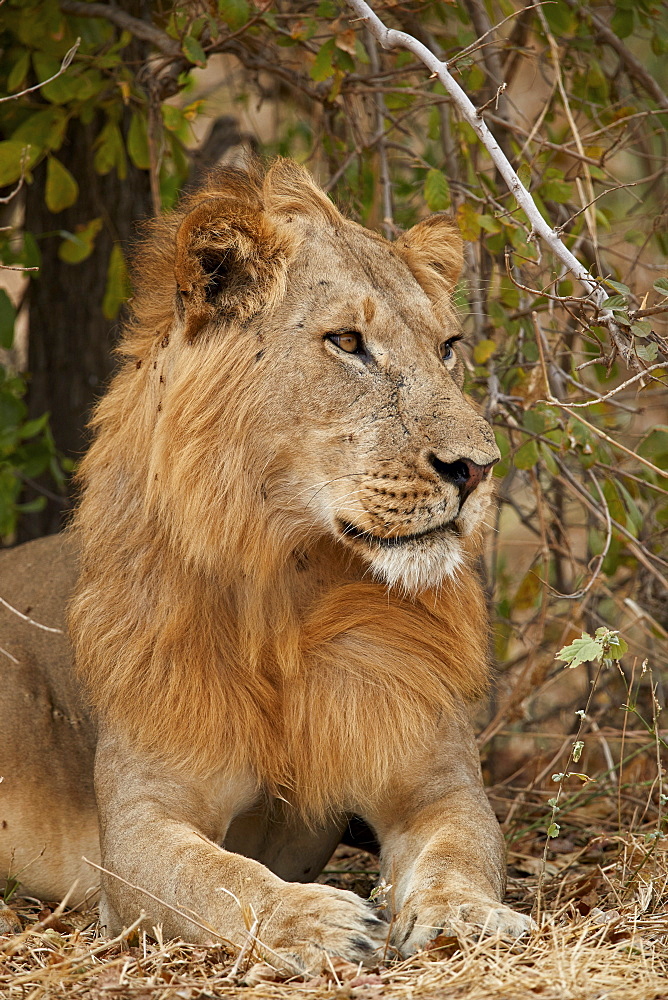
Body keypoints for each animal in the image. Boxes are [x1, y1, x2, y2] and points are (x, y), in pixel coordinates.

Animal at [0, 160, 532, 972]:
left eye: (447, 347)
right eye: (346, 341)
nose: (477, 467)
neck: (292, 582)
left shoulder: (436, 784)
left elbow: (460, 853)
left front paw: (466, 917)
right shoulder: (137, 830)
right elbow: (223, 880)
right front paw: (317, 920)